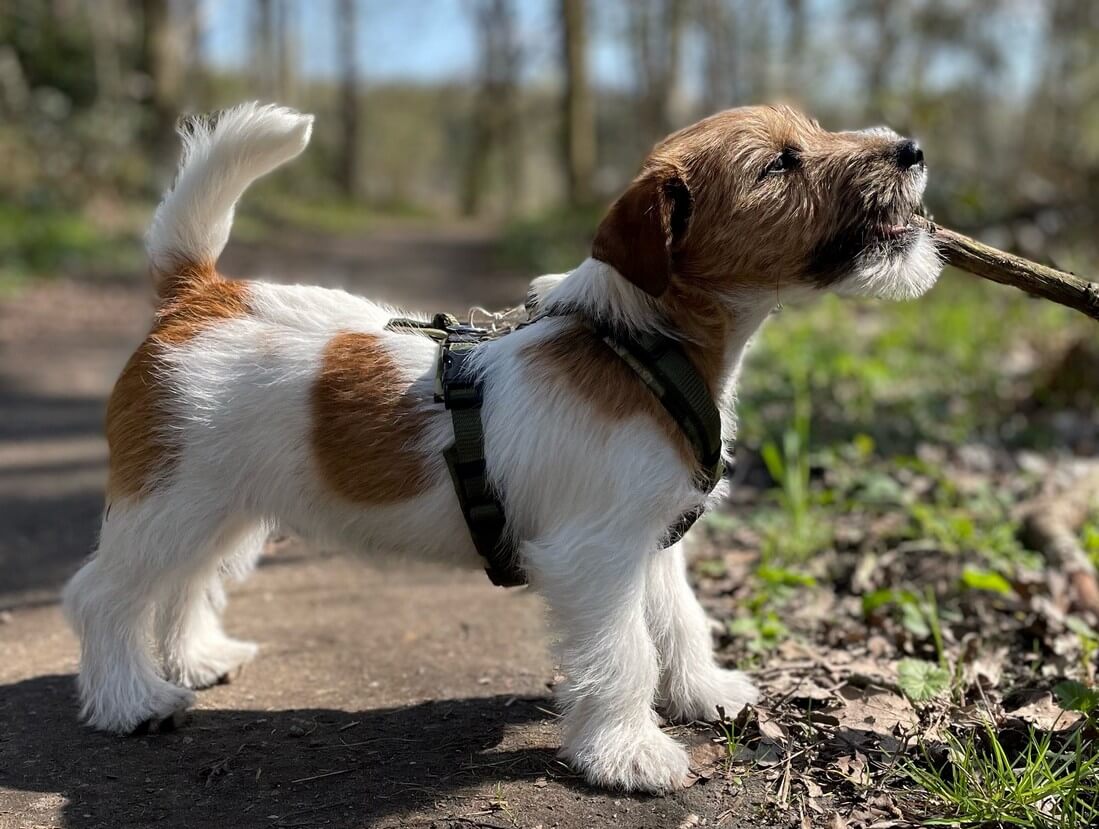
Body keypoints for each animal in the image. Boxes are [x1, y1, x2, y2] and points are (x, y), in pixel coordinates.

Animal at [62, 100, 936, 791]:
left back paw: (195, 657)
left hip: (225, 508)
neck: (635, 345)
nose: (911, 149)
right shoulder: (594, 556)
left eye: (810, 133)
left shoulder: (650, 543)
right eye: (779, 163)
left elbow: (680, 620)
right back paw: (134, 699)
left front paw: (703, 691)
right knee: (105, 595)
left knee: (185, 582)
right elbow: (624, 650)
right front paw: (628, 753)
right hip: (173, 502)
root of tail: (199, 295)